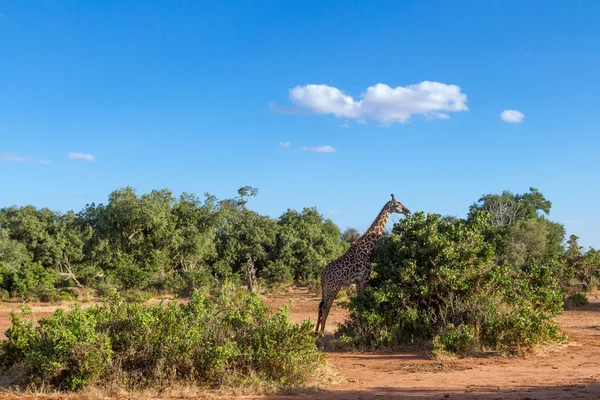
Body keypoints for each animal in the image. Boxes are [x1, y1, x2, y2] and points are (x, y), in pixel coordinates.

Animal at [314, 195, 412, 332]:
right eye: (398, 205)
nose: (408, 211)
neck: (368, 247)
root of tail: (322, 275)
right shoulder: (364, 278)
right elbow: (362, 305)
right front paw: (363, 328)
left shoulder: (358, 281)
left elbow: (359, 305)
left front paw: (359, 327)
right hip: (333, 287)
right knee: (325, 307)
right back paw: (321, 333)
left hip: (326, 289)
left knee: (320, 306)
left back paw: (316, 332)